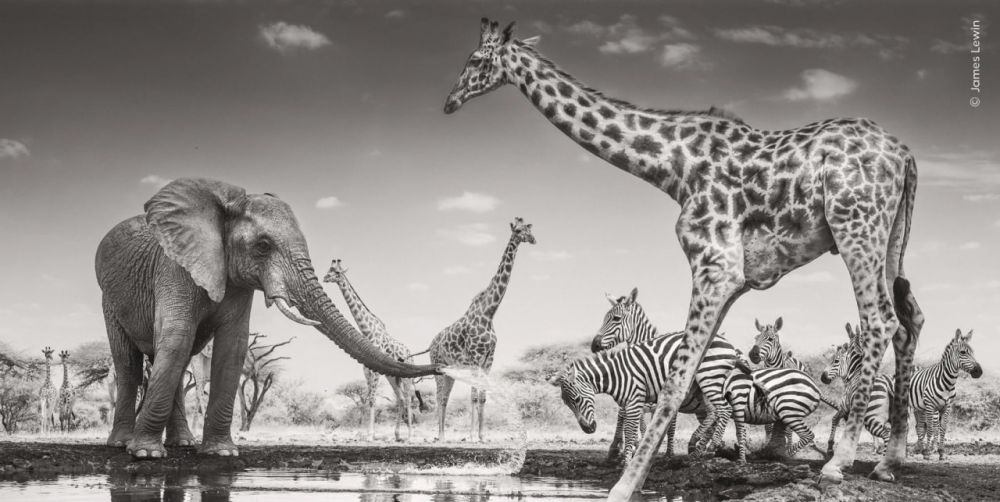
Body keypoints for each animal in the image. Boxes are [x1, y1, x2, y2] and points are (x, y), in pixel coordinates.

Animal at [96, 178, 440, 458]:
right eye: (263, 245)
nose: (440, 366)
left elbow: (233, 346)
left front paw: (221, 453)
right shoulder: (173, 267)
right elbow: (177, 338)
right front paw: (145, 455)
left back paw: (182, 444)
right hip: (109, 299)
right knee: (131, 363)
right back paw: (123, 444)